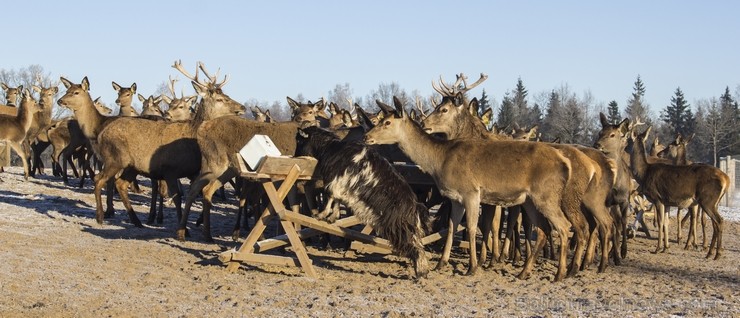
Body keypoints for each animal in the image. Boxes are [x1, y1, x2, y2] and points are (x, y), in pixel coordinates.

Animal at [632, 125, 728, 258]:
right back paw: (709, 252)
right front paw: (667, 247)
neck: (644, 173)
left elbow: (663, 222)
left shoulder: (658, 198)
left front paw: (658, 248)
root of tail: (726, 180)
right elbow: (667, 221)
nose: (660, 153)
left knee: (719, 221)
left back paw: (716, 253)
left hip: (707, 200)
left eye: (669, 145)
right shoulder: (668, 202)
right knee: (713, 222)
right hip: (713, 203)